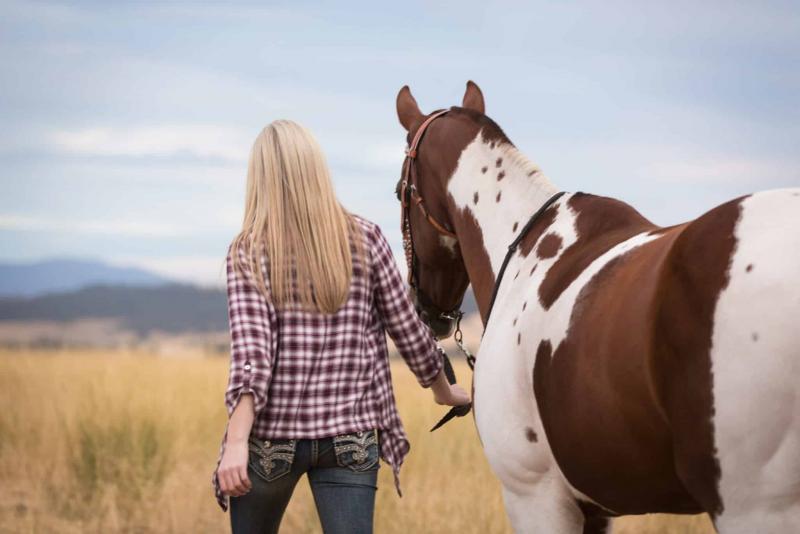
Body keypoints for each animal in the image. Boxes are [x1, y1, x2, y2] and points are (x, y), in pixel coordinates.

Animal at [396, 81, 800, 532]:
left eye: (399, 192)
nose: (427, 311)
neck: (521, 249)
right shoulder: (594, 508)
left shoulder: (534, 498)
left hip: (755, 506)